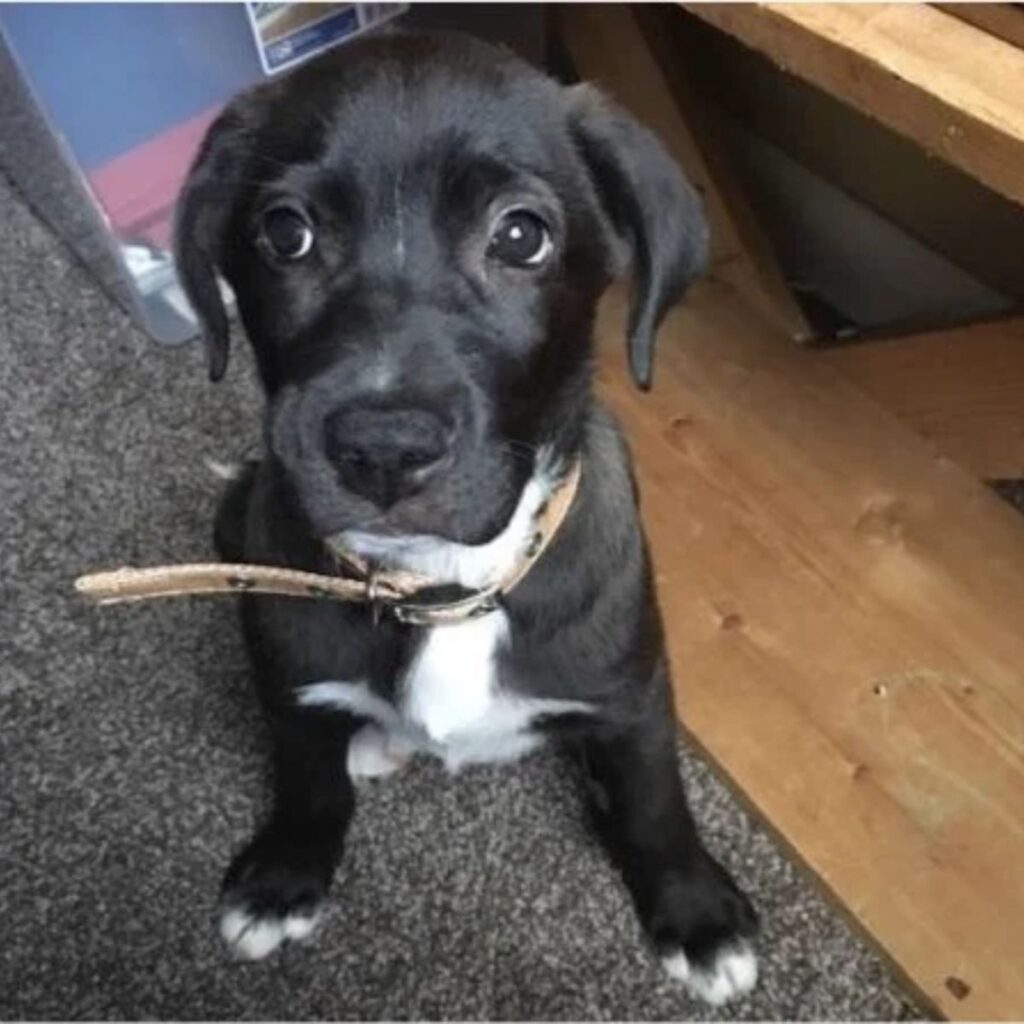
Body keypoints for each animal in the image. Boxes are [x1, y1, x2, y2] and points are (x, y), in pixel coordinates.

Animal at [176, 29, 757, 999]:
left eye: (521, 236)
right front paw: (285, 873)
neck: (440, 588)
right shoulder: (288, 681)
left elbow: (654, 799)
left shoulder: (635, 691)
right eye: (285, 233)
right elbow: (306, 778)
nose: (382, 448)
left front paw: (696, 913)